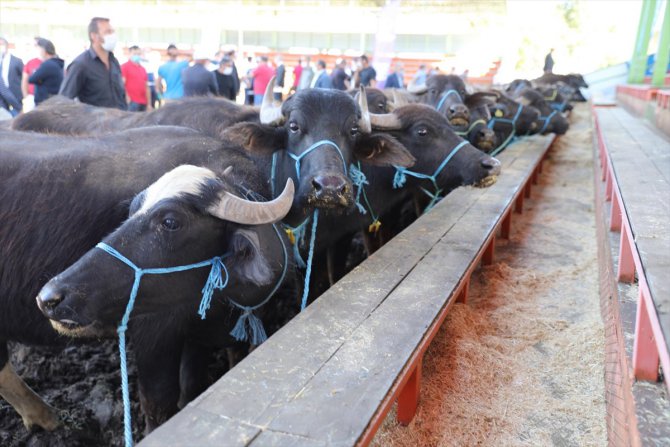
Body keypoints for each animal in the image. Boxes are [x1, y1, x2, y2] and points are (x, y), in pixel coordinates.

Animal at [0, 127, 294, 434]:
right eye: (132, 211)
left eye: (170, 222)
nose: (50, 298)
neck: (223, 304)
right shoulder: (154, 333)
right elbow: (158, 402)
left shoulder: (202, 337)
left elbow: (194, 384)